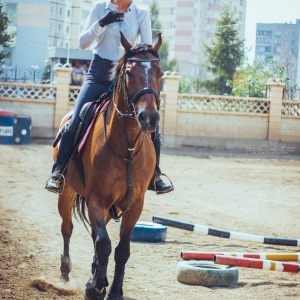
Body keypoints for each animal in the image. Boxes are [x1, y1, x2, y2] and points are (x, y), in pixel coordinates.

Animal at [55, 32, 163, 300]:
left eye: (160, 72)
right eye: (129, 73)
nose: (149, 118)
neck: (126, 147)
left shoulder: (135, 204)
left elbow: (121, 249)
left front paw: (113, 290)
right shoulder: (96, 198)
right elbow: (103, 243)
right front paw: (97, 285)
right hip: (67, 193)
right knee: (67, 228)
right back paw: (66, 271)